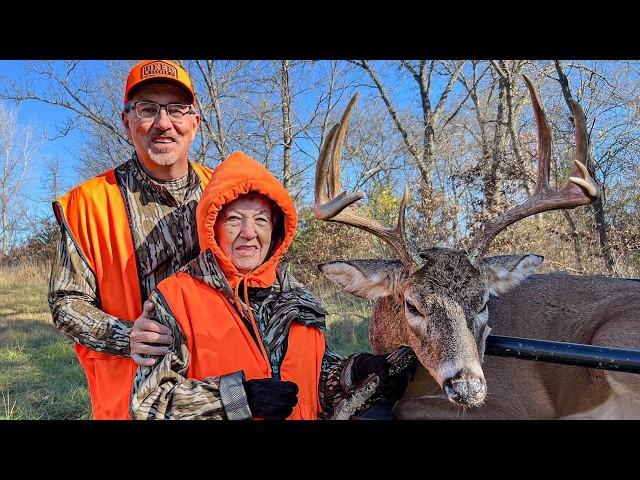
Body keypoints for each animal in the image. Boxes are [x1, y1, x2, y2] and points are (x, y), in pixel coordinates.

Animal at [316, 77, 640, 418]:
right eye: (412, 306)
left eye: (484, 302)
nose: (468, 388)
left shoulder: (523, 405)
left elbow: (403, 405)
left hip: (611, 333)